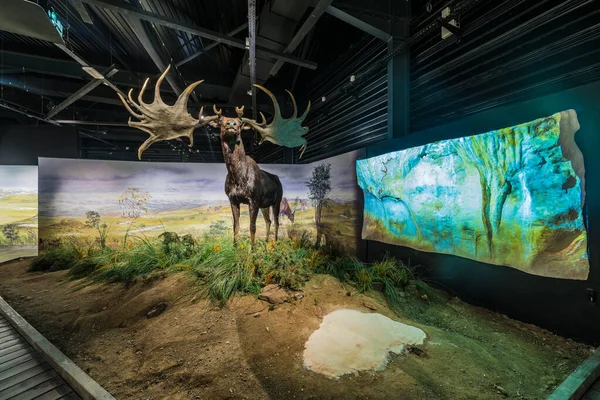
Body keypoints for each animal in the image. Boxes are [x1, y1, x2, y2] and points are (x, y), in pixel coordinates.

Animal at [119, 65, 312, 244]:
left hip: (276, 200)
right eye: (220, 121)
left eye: (240, 122)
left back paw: (275, 242)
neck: (238, 177)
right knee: (269, 221)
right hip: (266, 204)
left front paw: (252, 251)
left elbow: (251, 227)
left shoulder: (253, 199)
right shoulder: (233, 199)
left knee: (276, 221)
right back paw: (266, 242)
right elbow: (235, 226)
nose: (231, 124)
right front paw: (236, 248)